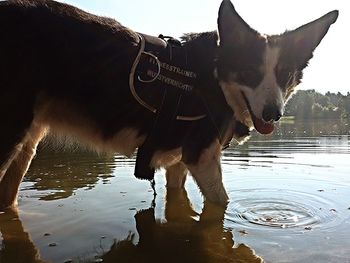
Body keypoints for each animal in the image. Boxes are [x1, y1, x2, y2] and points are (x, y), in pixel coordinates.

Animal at [0, 0, 340, 210]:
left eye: (285, 75)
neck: (213, 78)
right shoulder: (201, 157)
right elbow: (222, 203)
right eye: (249, 73)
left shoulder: (179, 162)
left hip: (27, 141)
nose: (274, 114)